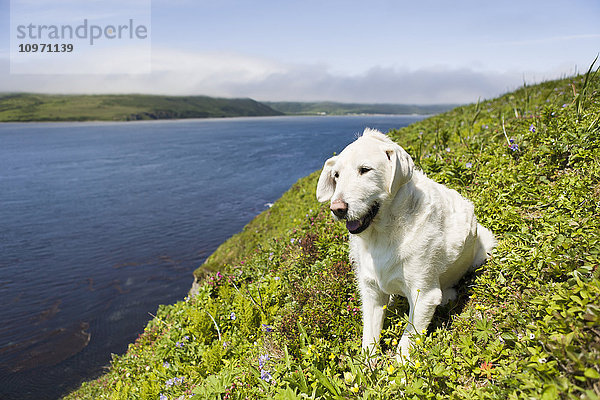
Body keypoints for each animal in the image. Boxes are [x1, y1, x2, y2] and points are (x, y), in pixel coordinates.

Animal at [316, 129, 494, 362]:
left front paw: (400, 369)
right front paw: (367, 368)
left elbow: (406, 343)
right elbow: (369, 340)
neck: (382, 235)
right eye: (336, 175)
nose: (337, 209)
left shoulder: (424, 295)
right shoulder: (371, 292)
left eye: (365, 170)